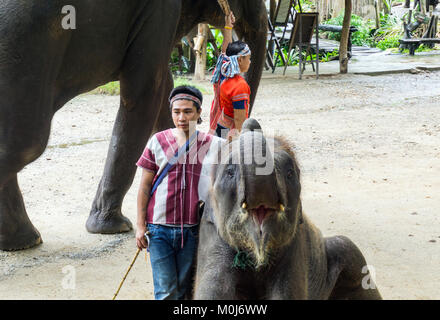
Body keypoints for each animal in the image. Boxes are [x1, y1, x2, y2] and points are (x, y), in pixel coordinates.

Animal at [0, 0, 268, 250]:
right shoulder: (160, 13)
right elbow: (144, 94)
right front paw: (113, 227)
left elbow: (166, 90)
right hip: (24, 41)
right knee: (25, 144)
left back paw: (22, 240)